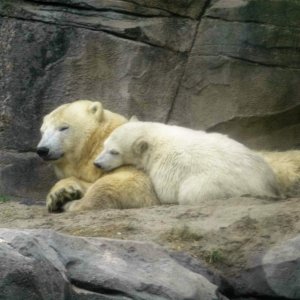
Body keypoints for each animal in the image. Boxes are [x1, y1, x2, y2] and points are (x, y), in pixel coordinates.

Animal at [95, 121, 282, 204]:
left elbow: (167, 192)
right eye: (104, 146)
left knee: (192, 191)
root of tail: (267, 184)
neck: (155, 140)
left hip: (219, 183)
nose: (97, 163)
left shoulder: (166, 166)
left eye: (114, 152)